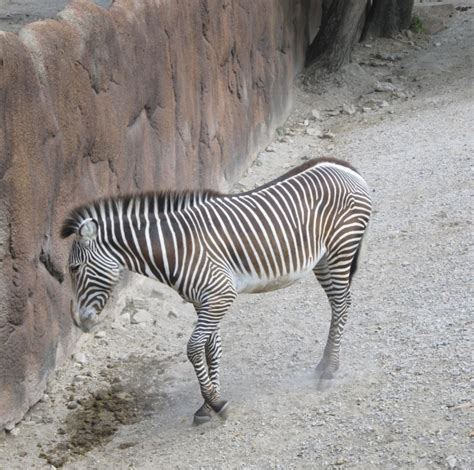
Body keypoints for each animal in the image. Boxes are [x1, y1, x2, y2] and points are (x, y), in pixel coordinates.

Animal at [60, 158, 370, 426]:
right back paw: (325, 364)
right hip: (324, 259)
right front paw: (208, 404)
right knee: (341, 302)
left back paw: (329, 370)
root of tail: (343, 167)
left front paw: (216, 403)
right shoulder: (204, 301)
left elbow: (193, 348)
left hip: (340, 249)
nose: (77, 321)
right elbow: (211, 349)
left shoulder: (220, 294)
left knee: (341, 304)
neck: (176, 247)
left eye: (74, 269)